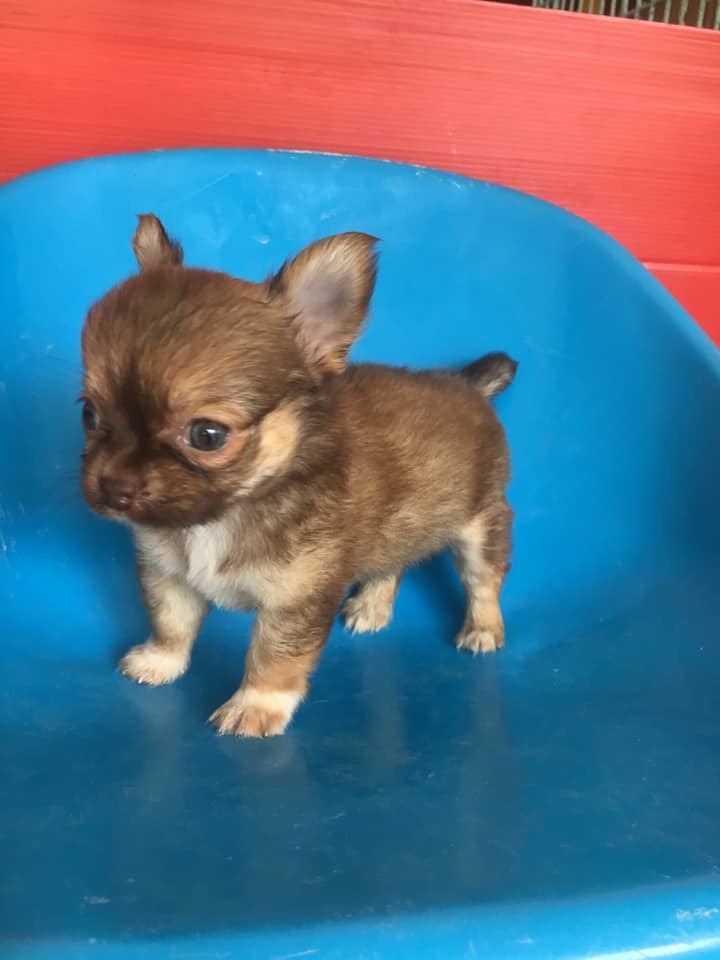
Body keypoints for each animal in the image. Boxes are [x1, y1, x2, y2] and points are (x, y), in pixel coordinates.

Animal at [80, 214, 516, 737]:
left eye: (206, 435)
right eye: (88, 415)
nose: (112, 487)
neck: (225, 516)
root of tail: (465, 384)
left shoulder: (295, 601)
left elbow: (272, 657)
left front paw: (255, 706)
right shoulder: (169, 576)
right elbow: (171, 624)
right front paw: (159, 661)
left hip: (482, 524)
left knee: (483, 579)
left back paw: (482, 628)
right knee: (392, 563)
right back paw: (372, 606)